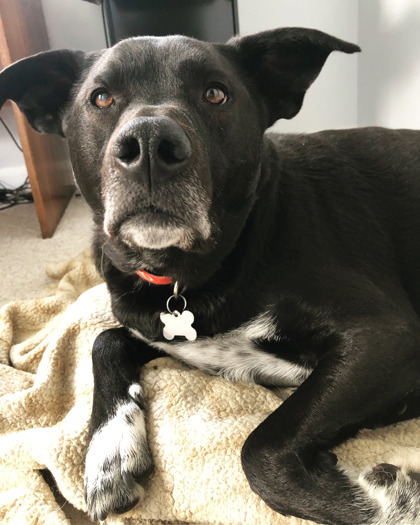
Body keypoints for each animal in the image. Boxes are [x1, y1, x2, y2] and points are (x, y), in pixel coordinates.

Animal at [0, 27, 420, 524]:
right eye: (101, 98)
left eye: (216, 94)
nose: (149, 144)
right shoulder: (155, 326)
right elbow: (103, 339)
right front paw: (109, 452)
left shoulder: (386, 335)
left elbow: (259, 451)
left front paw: (393, 503)